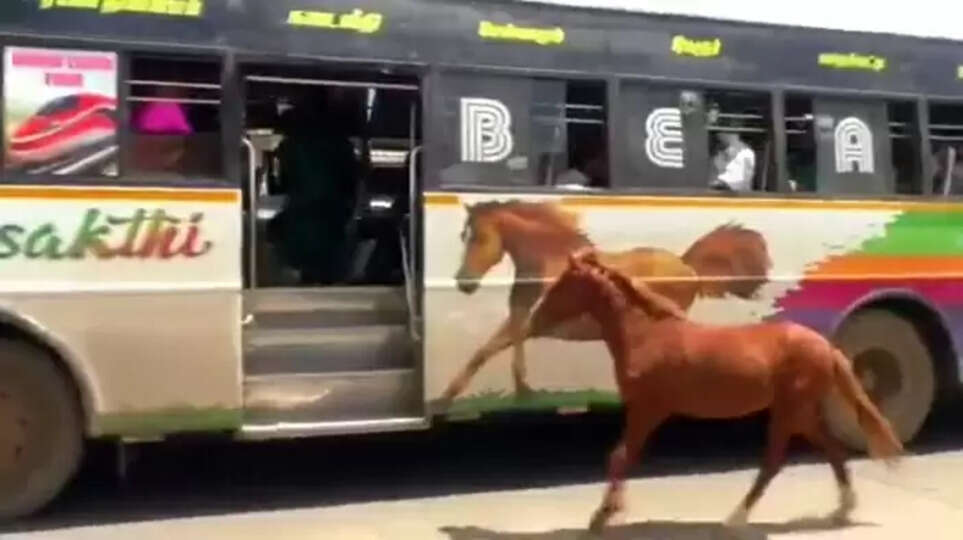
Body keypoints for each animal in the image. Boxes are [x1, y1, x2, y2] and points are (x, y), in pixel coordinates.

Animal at [440, 199, 772, 403]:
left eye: (480, 238)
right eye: (463, 236)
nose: (464, 282)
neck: (551, 266)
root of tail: (687, 264)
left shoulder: (540, 321)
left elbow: (496, 349)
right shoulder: (524, 318)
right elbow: (488, 352)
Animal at [523, 250, 902, 534]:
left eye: (564, 284)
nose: (532, 320)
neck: (646, 334)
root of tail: (826, 346)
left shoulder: (648, 408)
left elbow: (620, 456)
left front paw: (602, 516)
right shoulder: (644, 410)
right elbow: (622, 457)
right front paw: (610, 510)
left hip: (789, 410)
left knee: (774, 461)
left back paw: (736, 518)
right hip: (802, 411)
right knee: (832, 450)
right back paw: (842, 510)